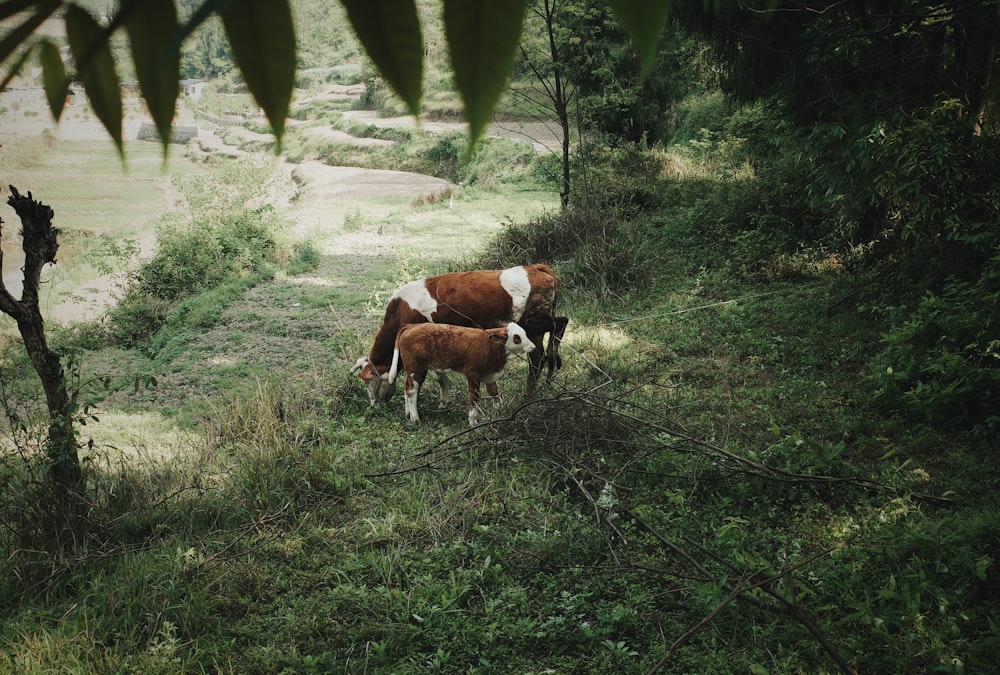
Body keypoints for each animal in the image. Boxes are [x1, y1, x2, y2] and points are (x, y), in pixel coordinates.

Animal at [354, 264, 572, 406]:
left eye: (367, 381)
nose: (375, 405)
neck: (401, 310)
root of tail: (535, 268)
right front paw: (445, 400)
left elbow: (437, 374)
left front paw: (444, 401)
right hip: (533, 331)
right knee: (538, 358)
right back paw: (540, 386)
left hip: (533, 321)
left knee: (560, 325)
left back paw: (543, 374)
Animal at [384, 324, 540, 428]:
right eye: (516, 338)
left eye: (525, 333)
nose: (533, 346)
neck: (491, 346)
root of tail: (411, 325)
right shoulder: (473, 375)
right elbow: (474, 398)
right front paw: (472, 421)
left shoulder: (490, 375)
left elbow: (494, 394)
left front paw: (501, 412)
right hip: (417, 369)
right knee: (411, 390)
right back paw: (415, 419)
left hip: (411, 371)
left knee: (406, 387)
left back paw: (408, 414)